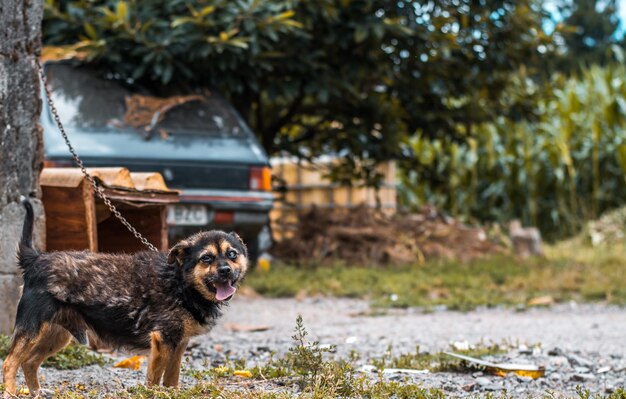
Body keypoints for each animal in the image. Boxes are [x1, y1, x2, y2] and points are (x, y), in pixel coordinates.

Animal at [1, 198, 247, 398]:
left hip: (56, 335)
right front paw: (154, 394)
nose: (225, 270)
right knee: (10, 363)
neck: (179, 282)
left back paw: (36, 393)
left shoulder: (178, 343)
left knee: (30, 362)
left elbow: (172, 378)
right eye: (206, 258)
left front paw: (172, 393)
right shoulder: (163, 341)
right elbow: (155, 379)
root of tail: (35, 259)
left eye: (232, 254)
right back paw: (12, 393)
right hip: (33, 329)